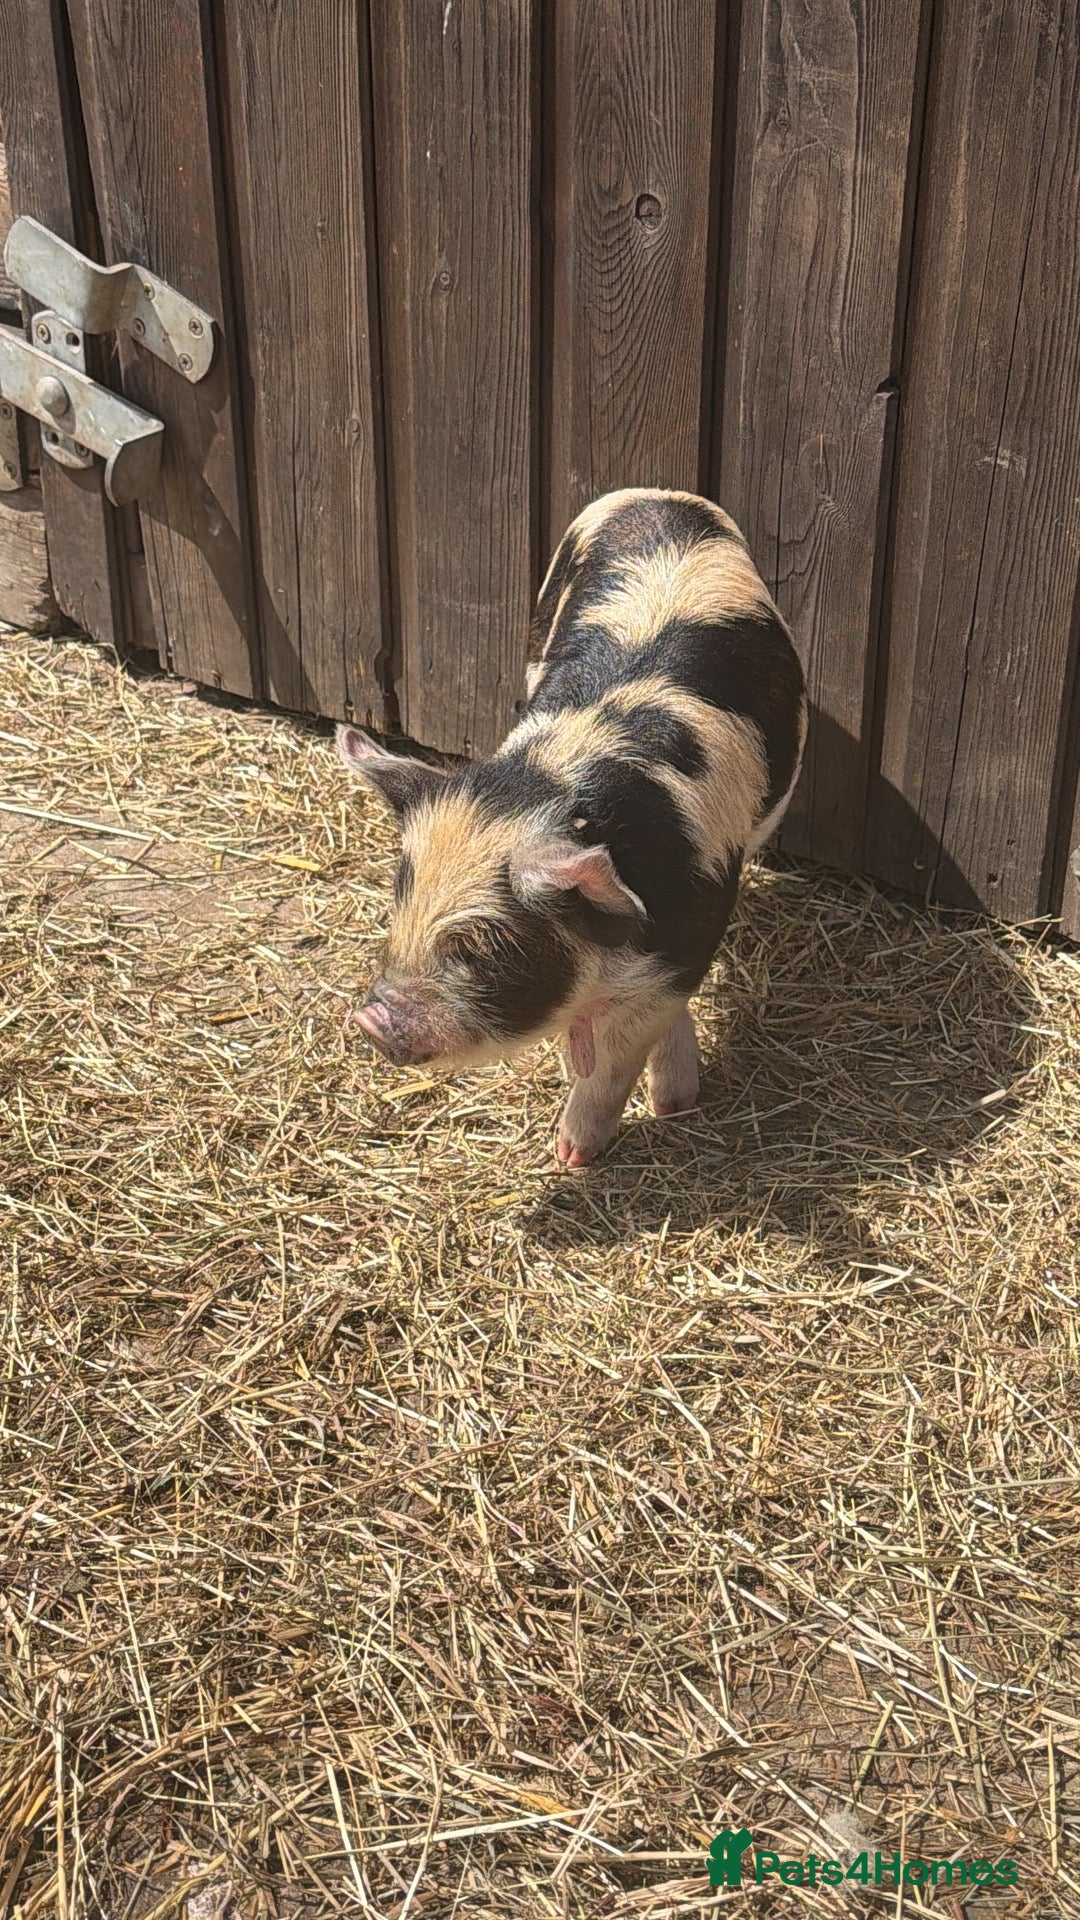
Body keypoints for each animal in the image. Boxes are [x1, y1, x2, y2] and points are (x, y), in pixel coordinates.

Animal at [338, 487, 806, 1167]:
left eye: (483, 946)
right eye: (398, 909)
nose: (369, 1022)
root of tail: (660, 494)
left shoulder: (694, 928)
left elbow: (615, 1061)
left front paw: (587, 1147)